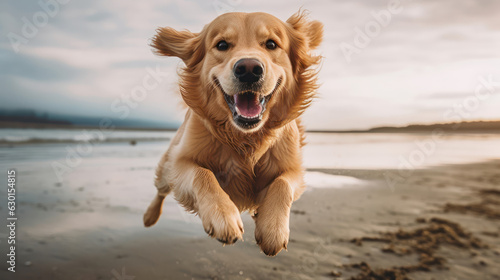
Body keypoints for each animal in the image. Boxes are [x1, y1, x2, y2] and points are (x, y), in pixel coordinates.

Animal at [144, 10, 324, 256]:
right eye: (222, 44)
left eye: (271, 44)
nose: (248, 69)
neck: (245, 137)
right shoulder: (181, 161)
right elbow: (203, 174)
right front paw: (223, 216)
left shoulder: (293, 169)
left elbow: (282, 184)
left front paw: (273, 229)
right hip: (167, 165)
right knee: (161, 190)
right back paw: (149, 217)